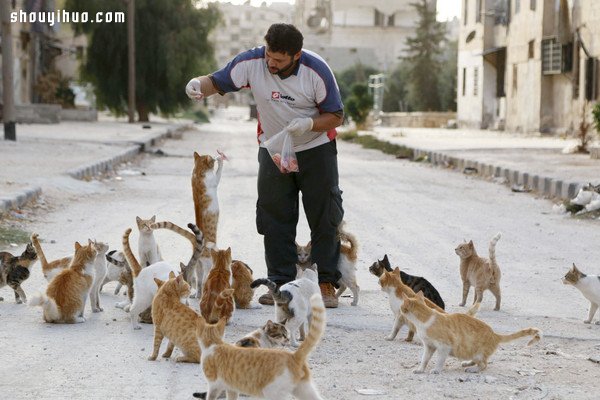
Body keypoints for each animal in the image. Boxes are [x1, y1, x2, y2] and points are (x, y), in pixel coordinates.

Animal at [400, 290, 540, 376]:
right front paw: (420, 369)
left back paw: (472, 369)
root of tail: (495, 335)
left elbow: (440, 360)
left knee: (484, 365)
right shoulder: (429, 346)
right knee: (479, 361)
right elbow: (424, 359)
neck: (425, 318)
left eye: (402, 306)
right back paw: (467, 363)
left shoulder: (444, 346)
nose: (400, 310)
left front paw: (436, 370)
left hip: (478, 353)